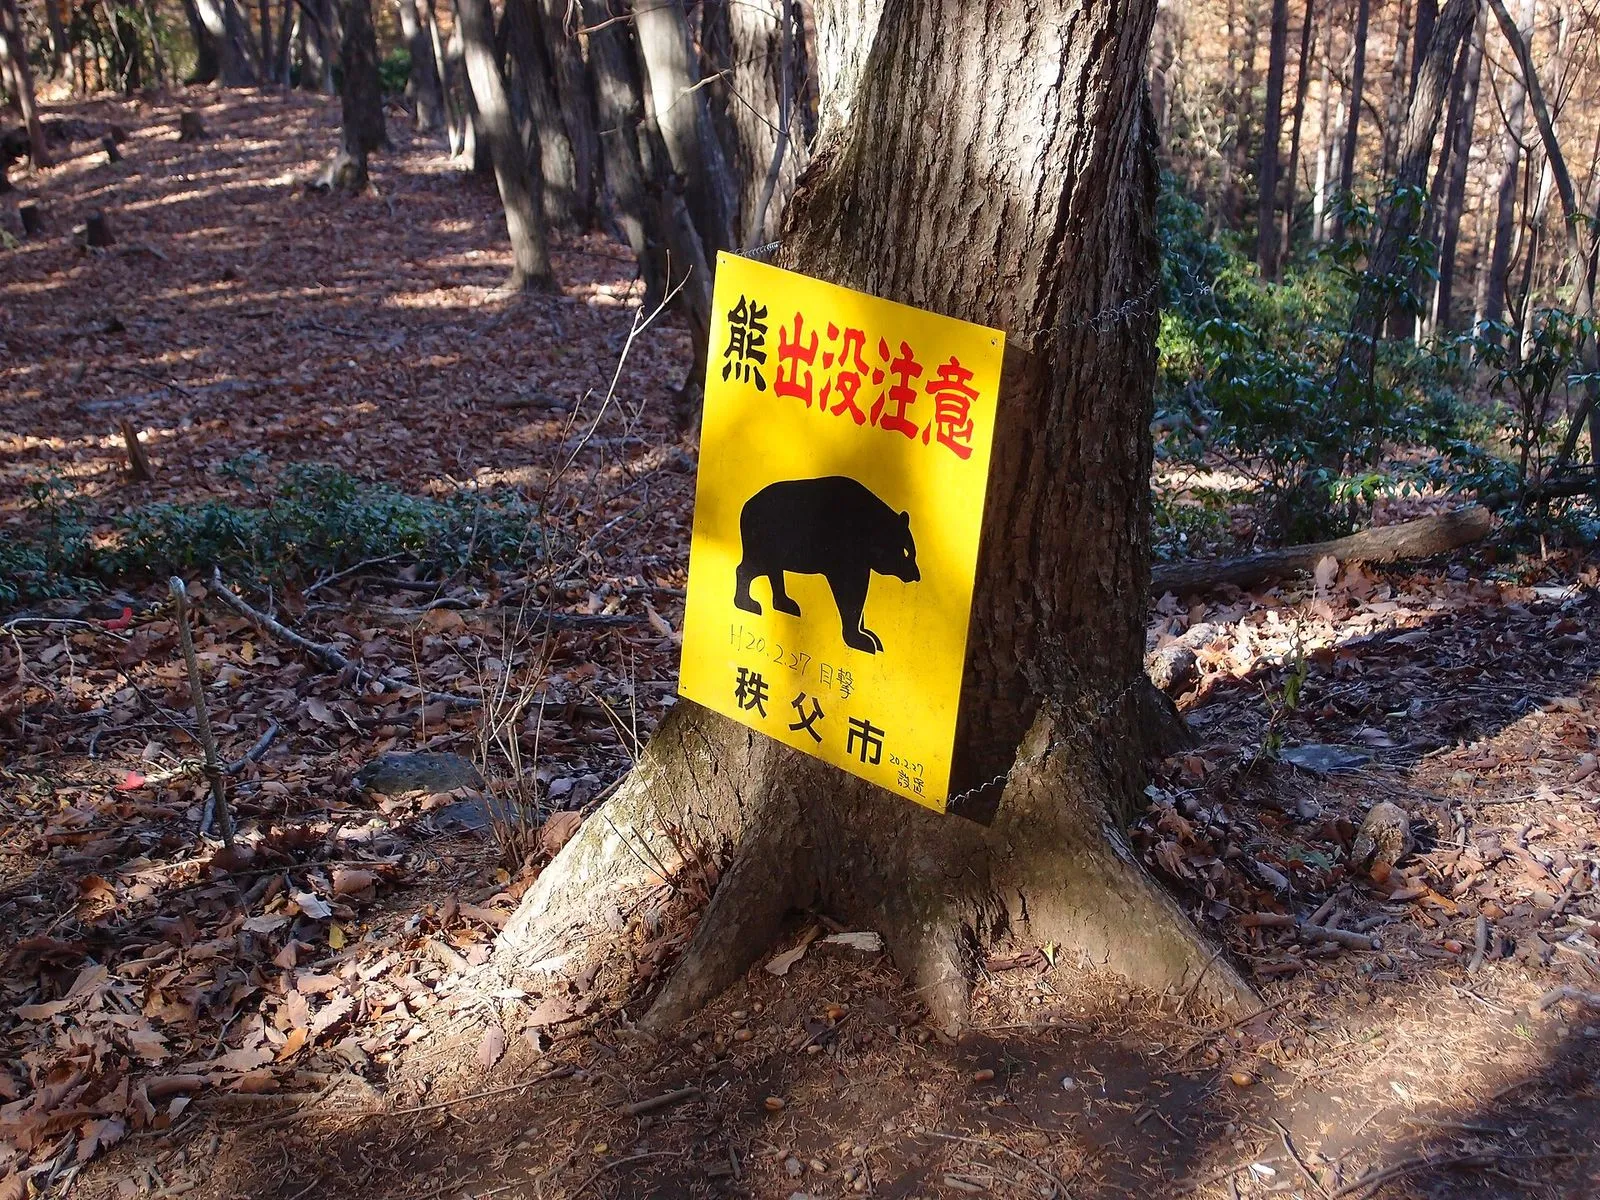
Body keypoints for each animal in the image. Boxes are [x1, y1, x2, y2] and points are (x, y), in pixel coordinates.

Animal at [732, 475, 919, 654]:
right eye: (906, 551)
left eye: (912, 551)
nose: (917, 575)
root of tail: (746, 505)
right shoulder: (845, 556)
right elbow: (851, 593)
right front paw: (860, 639)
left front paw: (868, 634)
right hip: (763, 542)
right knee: (748, 569)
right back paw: (748, 603)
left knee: (774, 572)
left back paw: (786, 604)